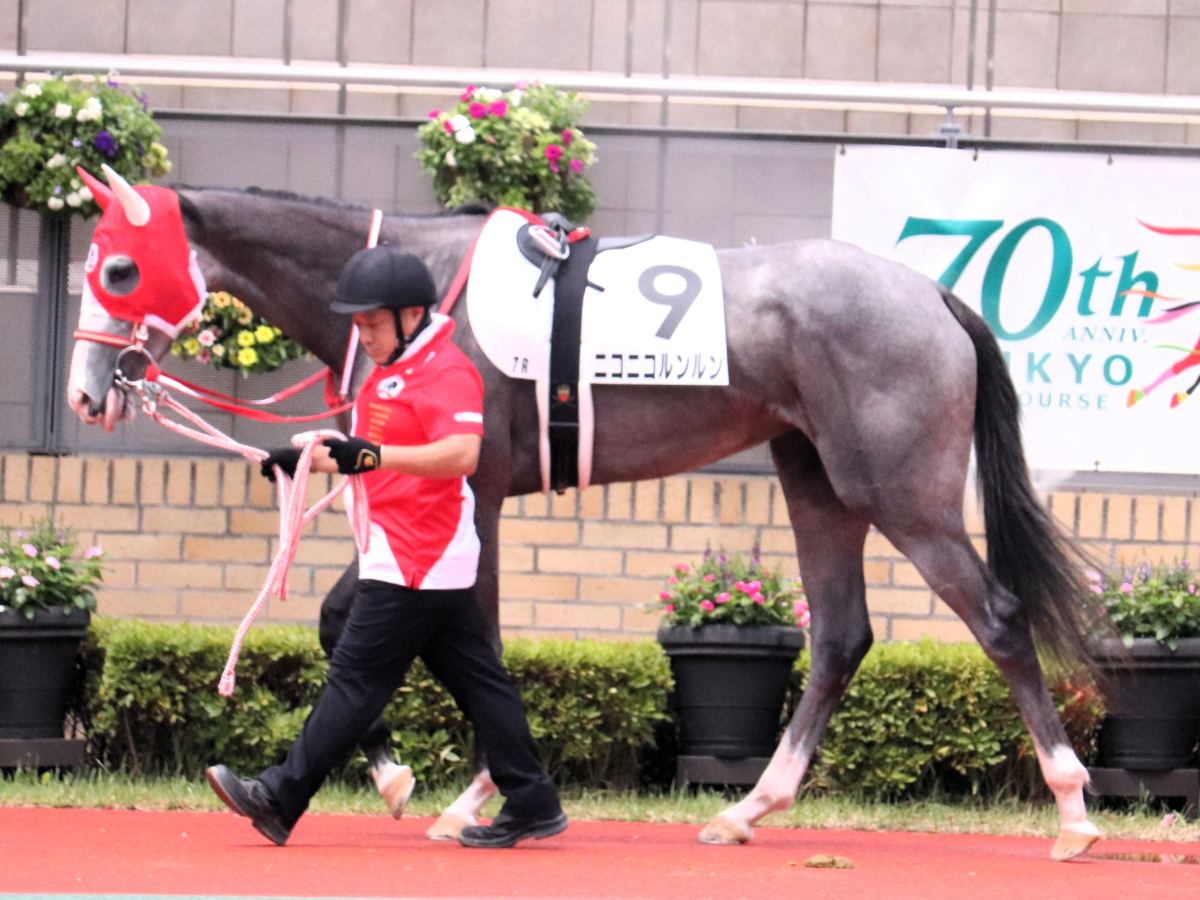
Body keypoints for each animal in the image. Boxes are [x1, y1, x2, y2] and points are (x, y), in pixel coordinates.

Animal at [66, 166, 1103, 861]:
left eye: (118, 271)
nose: (87, 394)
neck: (426, 296)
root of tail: (930, 291)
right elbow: (352, 622)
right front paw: (402, 777)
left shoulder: (476, 490)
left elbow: (462, 636)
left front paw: (477, 796)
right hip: (816, 480)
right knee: (842, 635)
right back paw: (748, 809)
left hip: (900, 495)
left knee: (998, 620)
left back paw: (1072, 809)